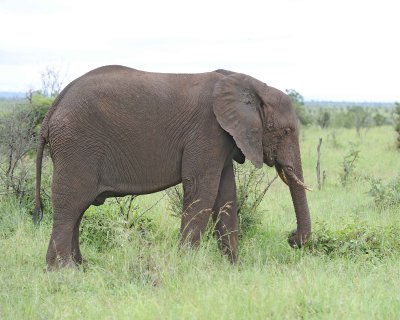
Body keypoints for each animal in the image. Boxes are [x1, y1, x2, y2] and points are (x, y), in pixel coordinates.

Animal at [32, 65, 310, 270]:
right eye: (286, 131)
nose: (292, 238)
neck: (248, 84)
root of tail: (53, 108)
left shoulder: (224, 138)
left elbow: (226, 195)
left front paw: (234, 268)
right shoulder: (207, 131)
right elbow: (202, 190)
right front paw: (188, 265)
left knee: (78, 208)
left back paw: (82, 267)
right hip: (77, 146)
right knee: (71, 204)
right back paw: (63, 271)